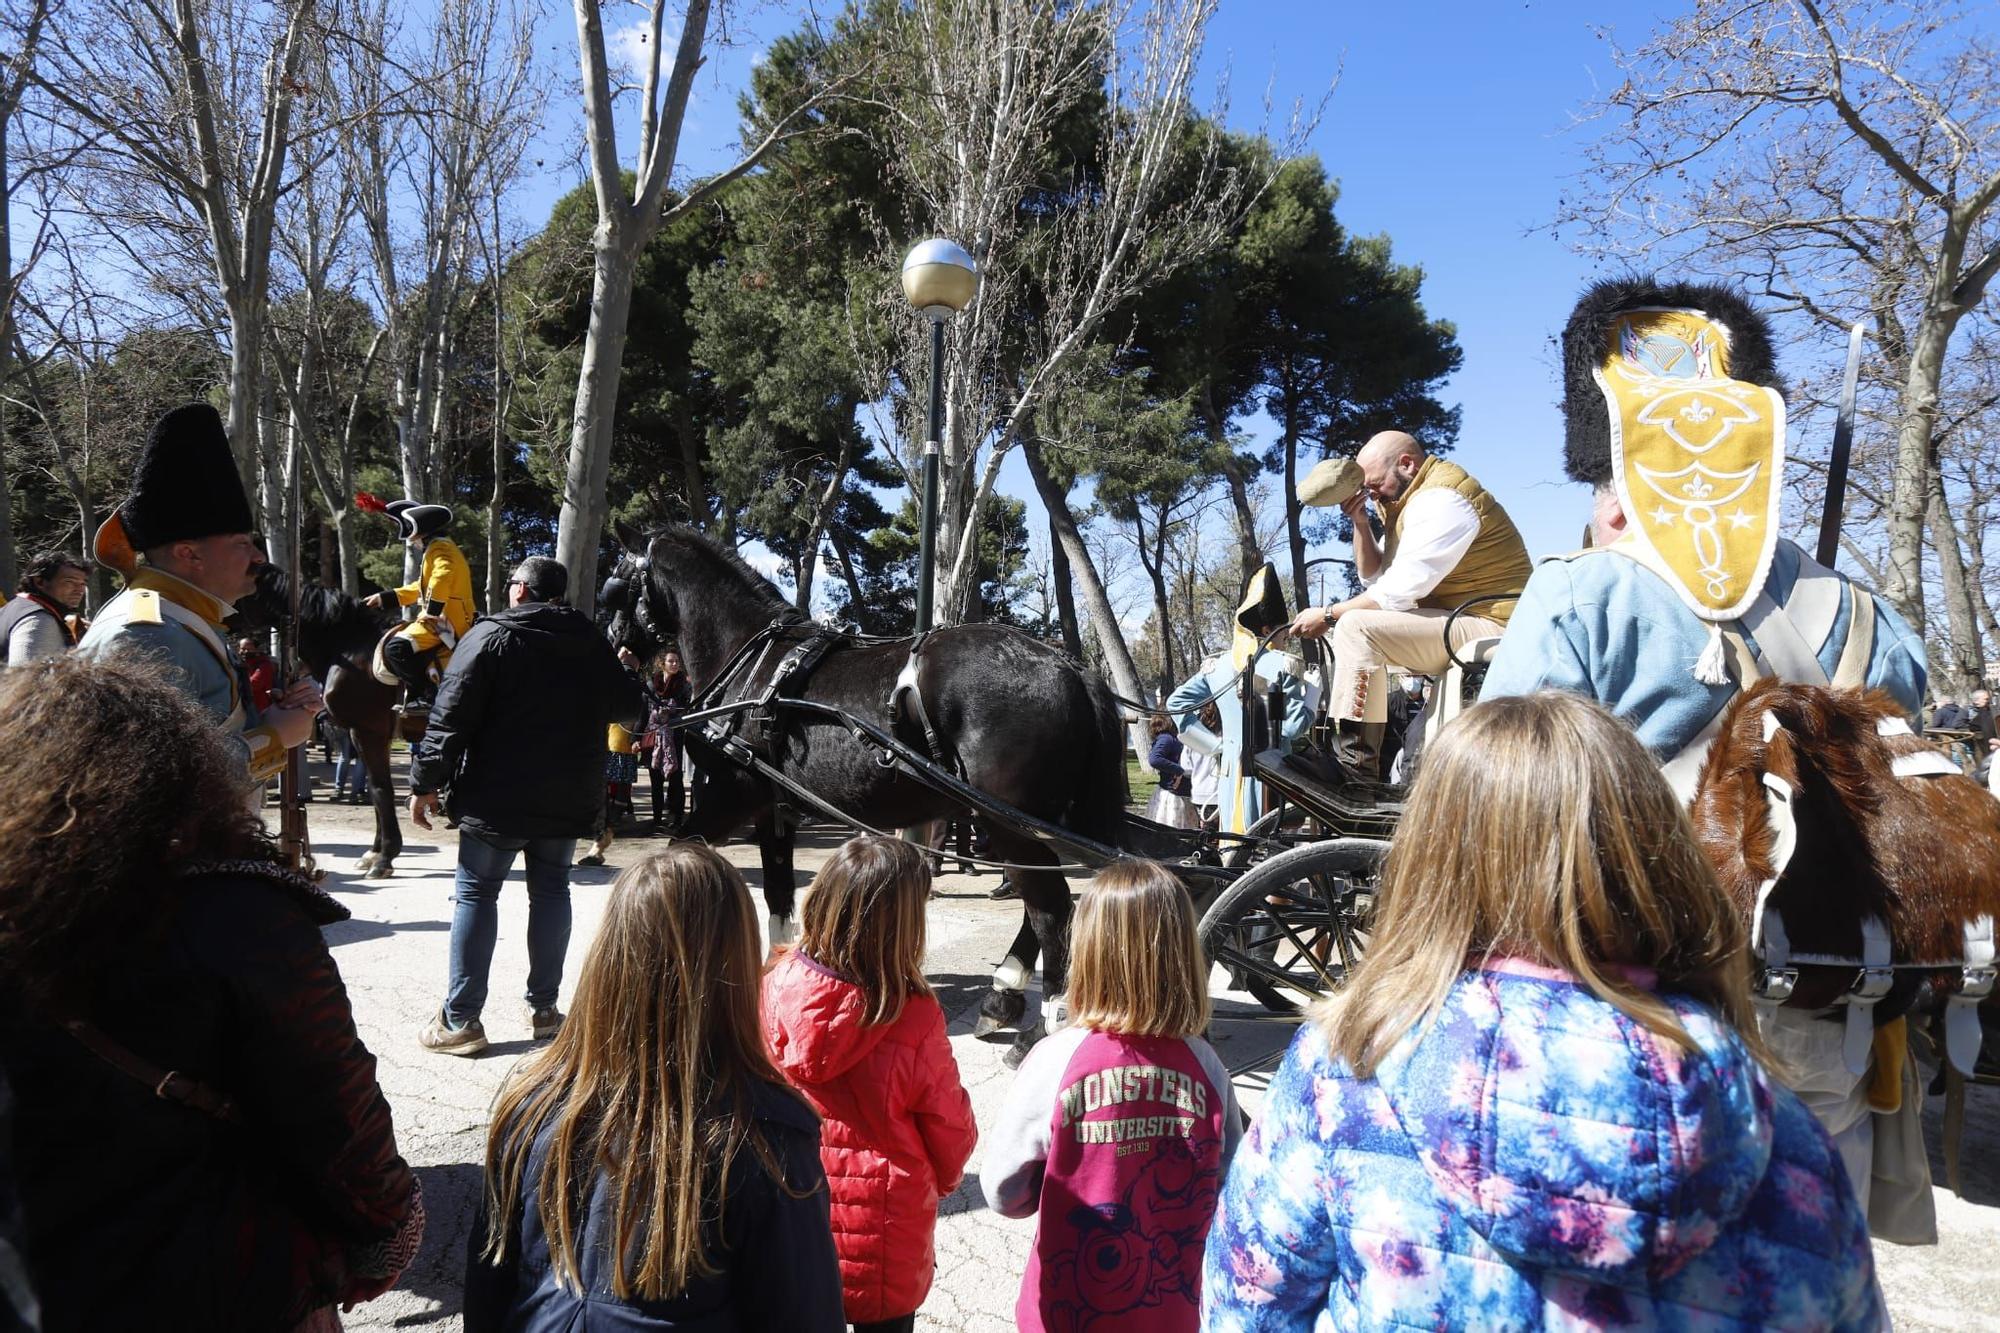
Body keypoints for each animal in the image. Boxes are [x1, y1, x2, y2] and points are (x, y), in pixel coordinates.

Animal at [600, 524, 1136, 1056]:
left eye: (617, 588)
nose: (613, 640)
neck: (754, 665)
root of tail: (1070, 667)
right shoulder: (773, 809)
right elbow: (777, 893)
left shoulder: (729, 796)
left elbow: (676, 853)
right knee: (1042, 904)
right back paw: (1003, 996)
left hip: (1008, 821)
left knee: (1050, 909)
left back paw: (1044, 1025)